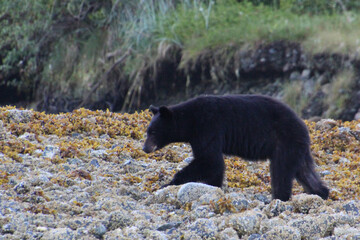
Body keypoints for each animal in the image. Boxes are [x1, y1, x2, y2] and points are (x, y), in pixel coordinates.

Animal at [143, 94, 330, 201]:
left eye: (153, 131)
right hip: (296, 148)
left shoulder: (208, 127)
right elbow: (214, 165)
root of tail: (304, 126)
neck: (189, 121)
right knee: (305, 172)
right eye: (147, 131)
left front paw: (168, 183)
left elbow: (209, 160)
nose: (145, 148)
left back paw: (279, 198)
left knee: (281, 173)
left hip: (284, 142)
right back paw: (321, 192)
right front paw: (214, 186)